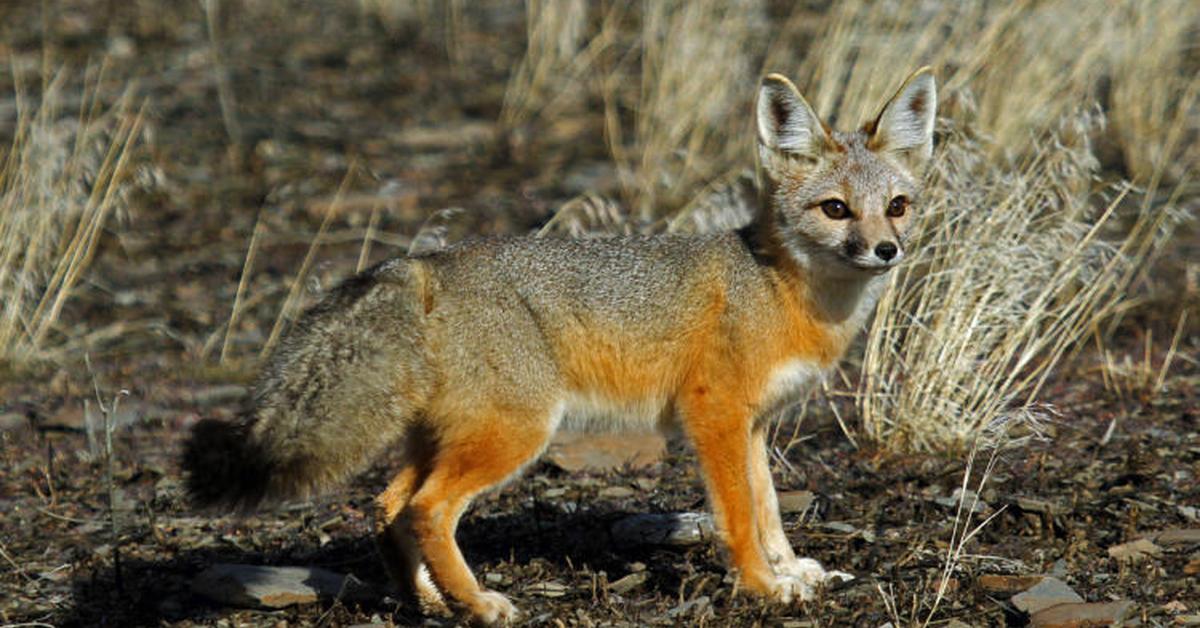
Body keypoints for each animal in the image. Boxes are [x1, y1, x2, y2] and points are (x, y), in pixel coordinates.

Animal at [182, 68, 940, 624]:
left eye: (897, 206)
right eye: (835, 209)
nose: (886, 250)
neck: (781, 288)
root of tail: (424, 265)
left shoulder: (751, 425)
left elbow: (769, 506)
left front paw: (791, 569)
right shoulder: (714, 415)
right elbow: (737, 516)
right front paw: (760, 584)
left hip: (450, 436)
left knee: (391, 505)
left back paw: (430, 602)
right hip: (516, 433)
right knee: (427, 510)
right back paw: (479, 604)